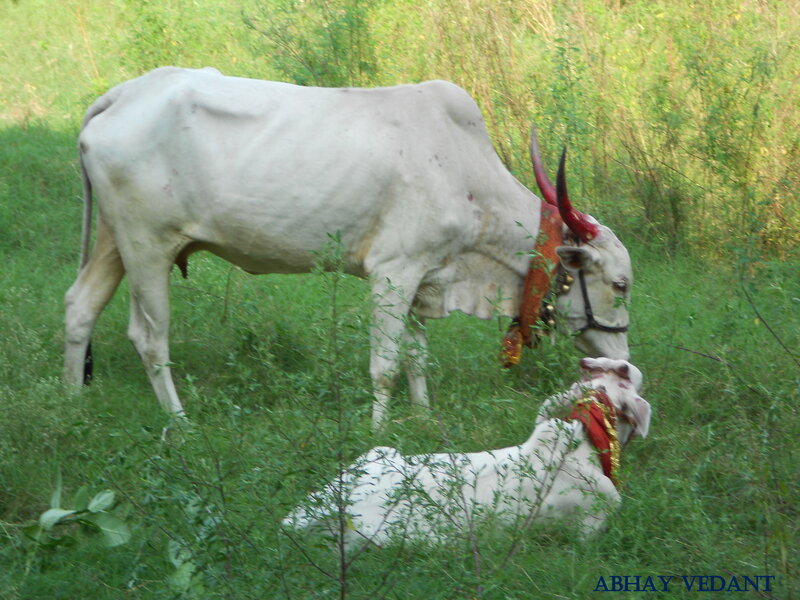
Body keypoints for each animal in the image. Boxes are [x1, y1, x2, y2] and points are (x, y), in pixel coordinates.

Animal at [64, 67, 632, 429]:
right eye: (619, 284)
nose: (623, 362)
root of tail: (125, 93)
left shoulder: (425, 276)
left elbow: (416, 358)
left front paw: (423, 418)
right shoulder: (393, 272)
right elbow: (385, 364)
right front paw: (379, 432)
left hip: (117, 241)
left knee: (79, 307)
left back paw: (73, 403)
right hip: (147, 246)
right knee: (149, 337)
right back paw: (179, 422)